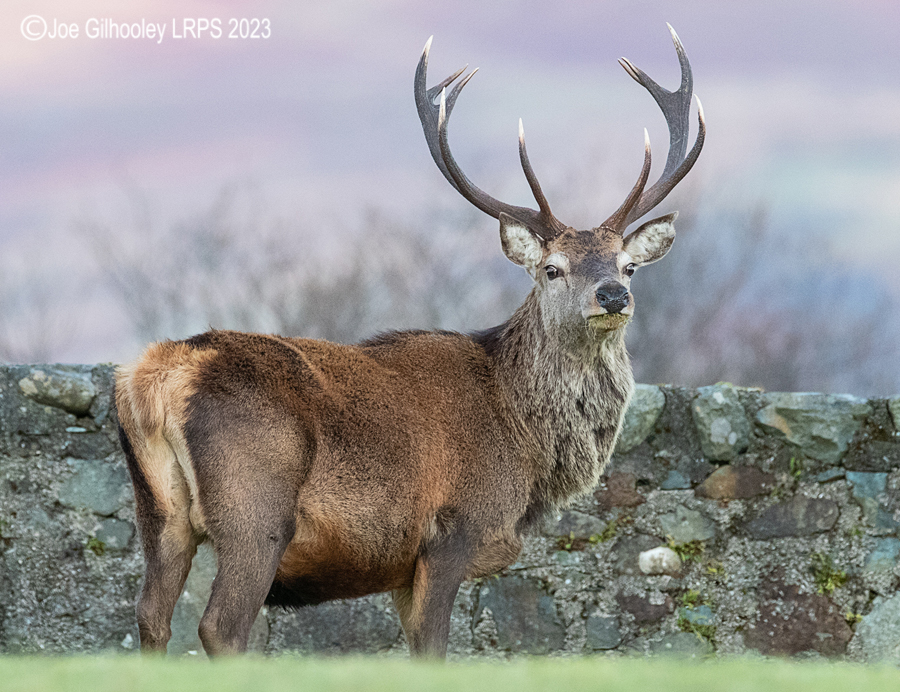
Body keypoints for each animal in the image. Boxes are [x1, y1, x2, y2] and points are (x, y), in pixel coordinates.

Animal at [114, 24, 704, 659]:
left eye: (628, 267)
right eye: (552, 268)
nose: (612, 297)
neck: (524, 445)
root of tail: (159, 375)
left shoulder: (399, 568)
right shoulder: (448, 532)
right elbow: (434, 651)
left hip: (160, 513)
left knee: (150, 616)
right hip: (256, 507)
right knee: (220, 625)